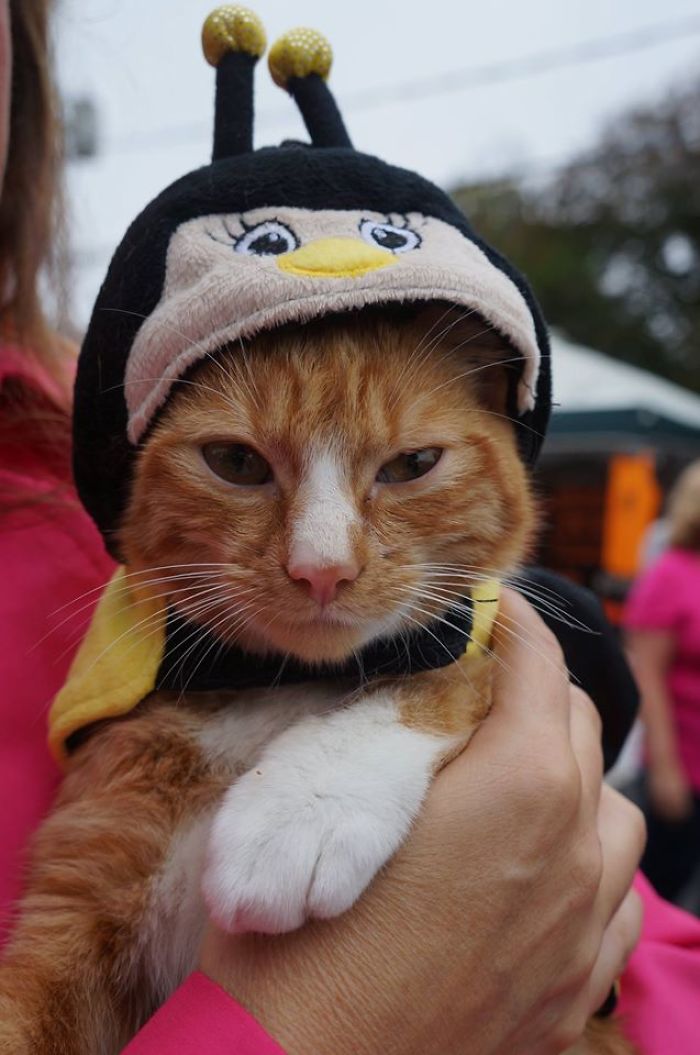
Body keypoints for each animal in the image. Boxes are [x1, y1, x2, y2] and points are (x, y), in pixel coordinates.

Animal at [0, 308, 632, 1055]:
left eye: (412, 464)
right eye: (235, 462)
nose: (322, 568)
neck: (275, 683)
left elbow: (451, 668)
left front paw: (304, 806)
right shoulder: (73, 910)